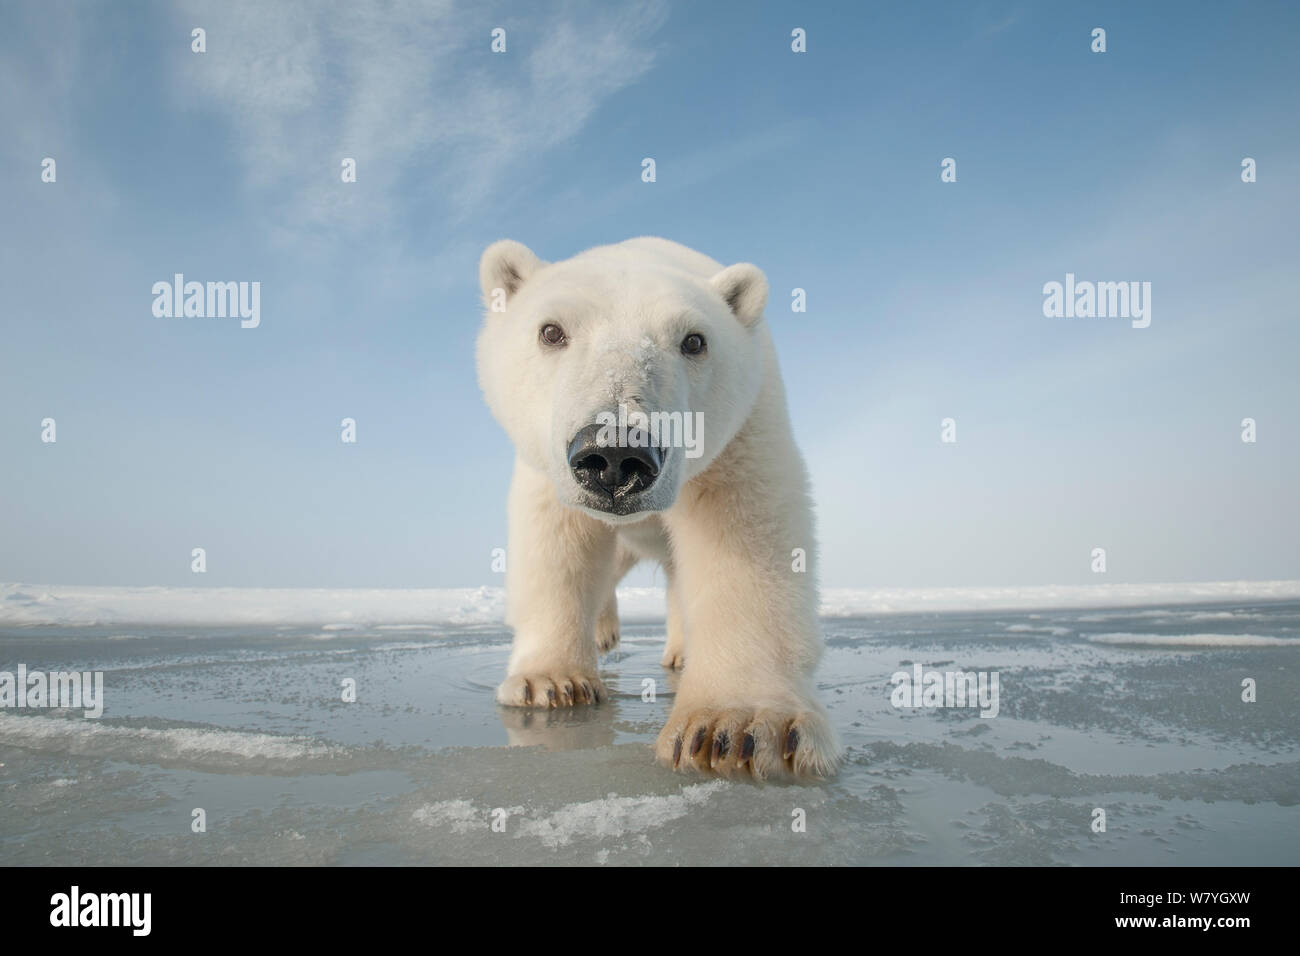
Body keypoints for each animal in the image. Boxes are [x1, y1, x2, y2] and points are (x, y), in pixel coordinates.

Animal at [480, 238, 842, 780]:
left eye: (694, 341)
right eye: (551, 331)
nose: (614, 453)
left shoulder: (740, 437)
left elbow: (744, 532)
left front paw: (736, 728)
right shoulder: (547, 468)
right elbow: (557, 543)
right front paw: (551, 682)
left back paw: (679, 652)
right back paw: (604, 631)